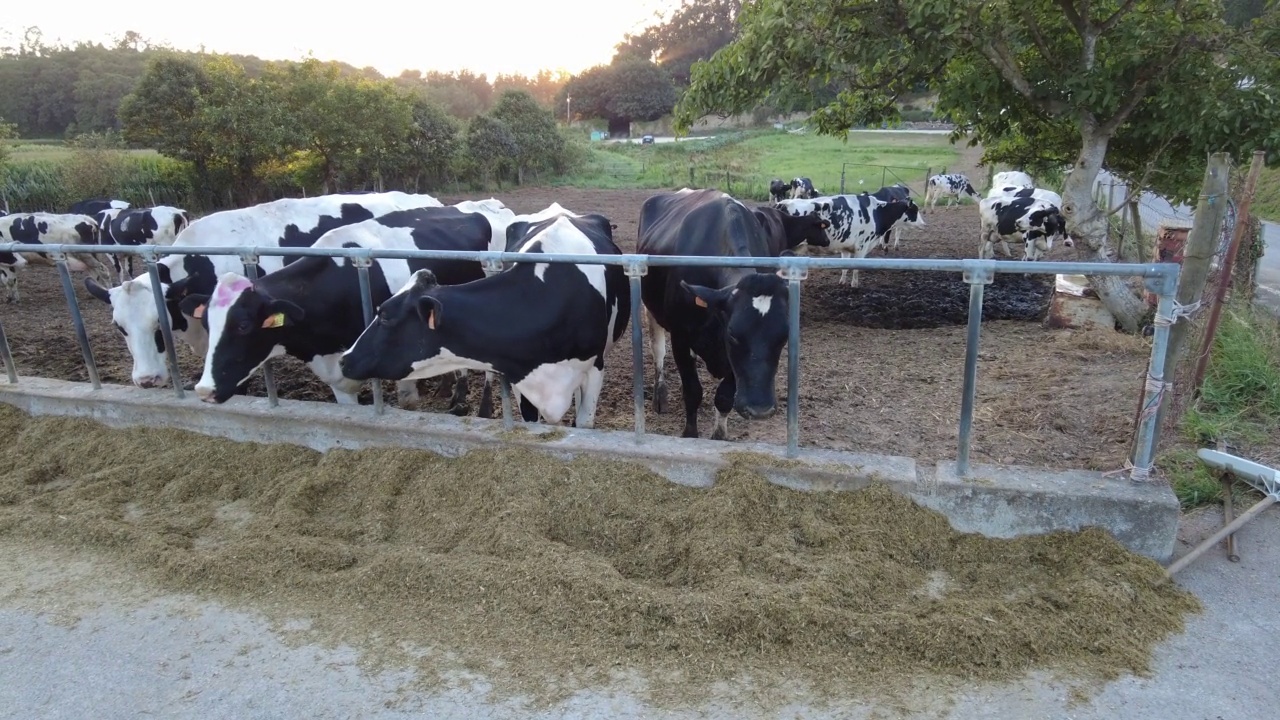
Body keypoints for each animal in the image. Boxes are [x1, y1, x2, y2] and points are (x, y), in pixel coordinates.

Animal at [632, 188, 788, 440]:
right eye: (733, 334)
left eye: (784, 336)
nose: (760, 409)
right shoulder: (681, 337)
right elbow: (692, 392)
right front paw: (690, 434)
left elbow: (724, 397)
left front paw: (719, 436)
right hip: (651, 308)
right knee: (658, 350)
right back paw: (660, 395)